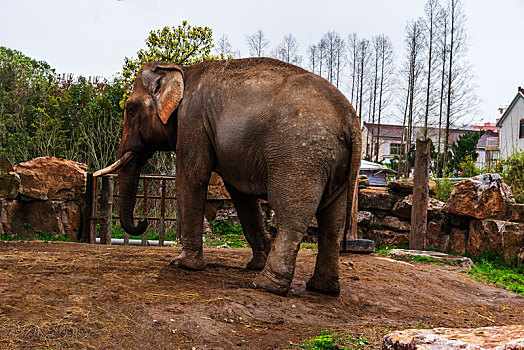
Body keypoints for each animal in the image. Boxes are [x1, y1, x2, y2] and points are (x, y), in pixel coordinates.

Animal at [95, 57, 360, 296]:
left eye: (130, 109)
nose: (143, 221)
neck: (181, 69)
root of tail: (351, 120)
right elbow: (241, 195)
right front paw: (253, 264)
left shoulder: (193, 122)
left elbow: (192, 178)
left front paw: (182, 264)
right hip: (335, 163)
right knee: (333, 222)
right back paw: (322, 288)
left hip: (300, 157)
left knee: (291, 216)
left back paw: (265, 286)